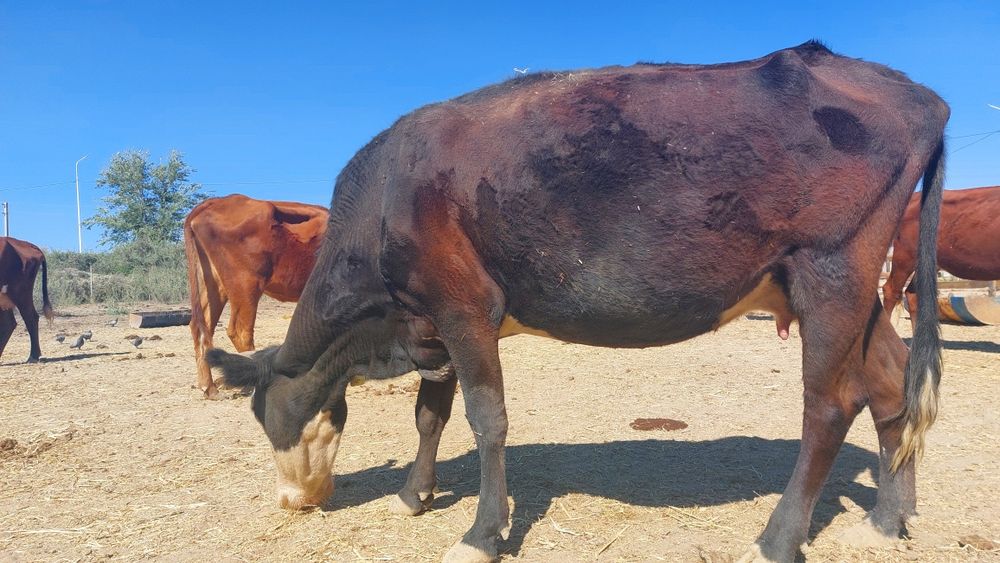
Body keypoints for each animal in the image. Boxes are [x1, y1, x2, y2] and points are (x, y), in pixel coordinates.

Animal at [183, 194, 328, 398]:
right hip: (246, 285)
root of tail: (219, 200)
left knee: (201, 328)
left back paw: (209, 387)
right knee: (240, 332)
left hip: (214, 285)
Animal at [207, 42, 949, 562]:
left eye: (265, 416)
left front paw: (481, 533)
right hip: (854, 284)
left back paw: (775, 540)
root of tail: (915, 95)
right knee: (893, 386)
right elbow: (429, 414)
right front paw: (413, 496)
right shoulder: (429, 320)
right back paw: (888, 521)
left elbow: (486, 418)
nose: (291, 500)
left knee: (831, 403)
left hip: (831, 265)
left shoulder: (463, 303)